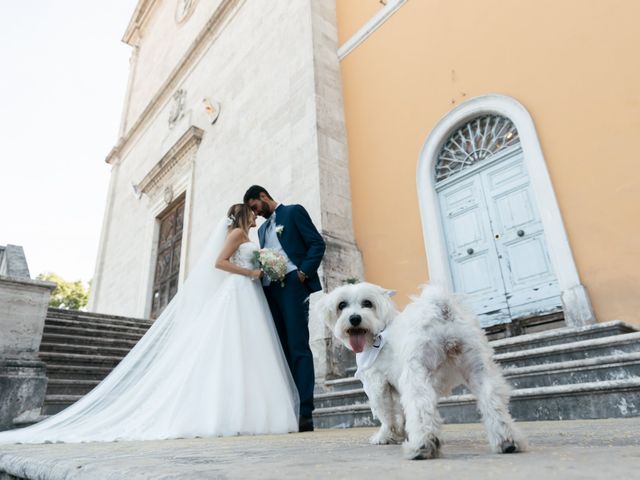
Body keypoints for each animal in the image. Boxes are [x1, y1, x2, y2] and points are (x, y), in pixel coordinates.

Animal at [314, 284, 524, 460]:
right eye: (341, 305)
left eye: (367, 303)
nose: (355, 318)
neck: (377, 333)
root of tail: (439, 308)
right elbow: (400, 413)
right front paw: (400, 433)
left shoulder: (377, 385)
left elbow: (386, 414)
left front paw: (385, 436)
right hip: (480, 371)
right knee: (493, 402)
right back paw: (507, 441)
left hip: (417, 375)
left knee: (421, 407)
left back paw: (422, 446)